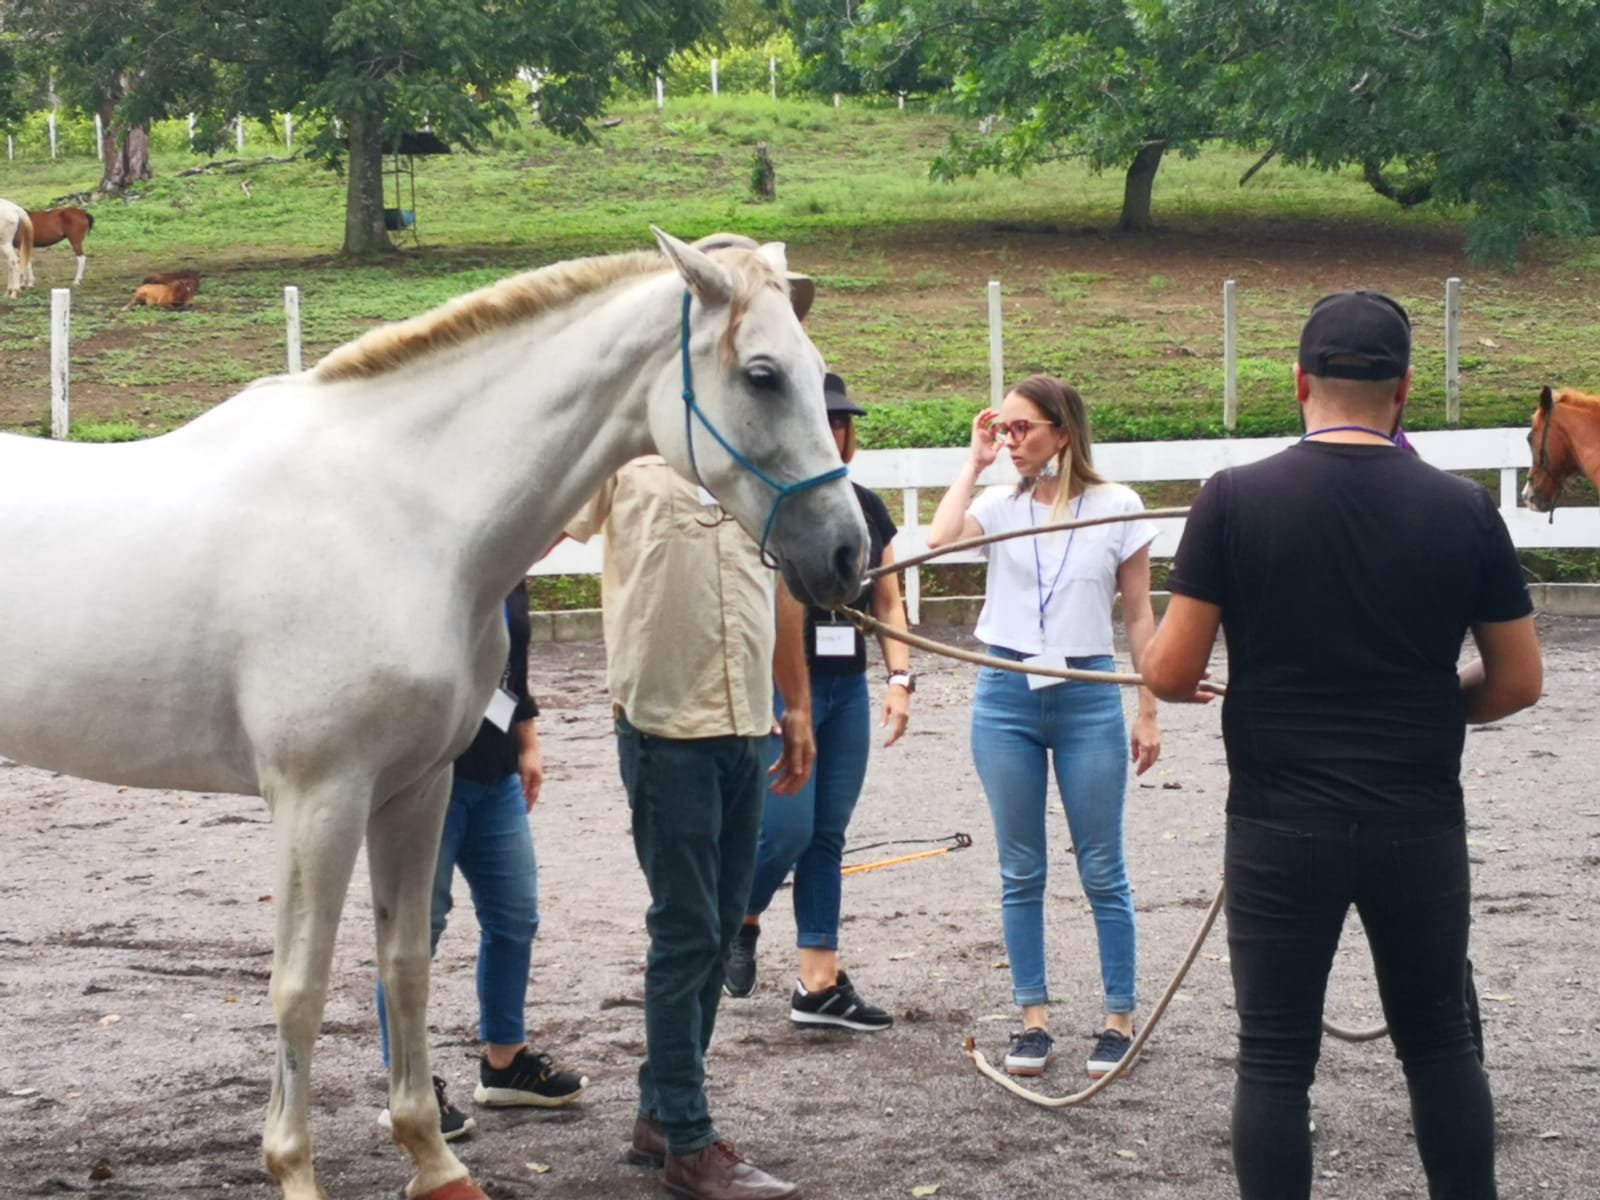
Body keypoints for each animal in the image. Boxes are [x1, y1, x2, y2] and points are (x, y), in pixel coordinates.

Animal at [0, 228, 867, 1200]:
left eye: (813, 370)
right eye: (762, 374)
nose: (847, 552)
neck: (401, 515)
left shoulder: (415, 790)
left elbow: (407, 964)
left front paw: (434, 1160)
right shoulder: (318, 799)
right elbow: (299, 985)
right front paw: (294, 1171)